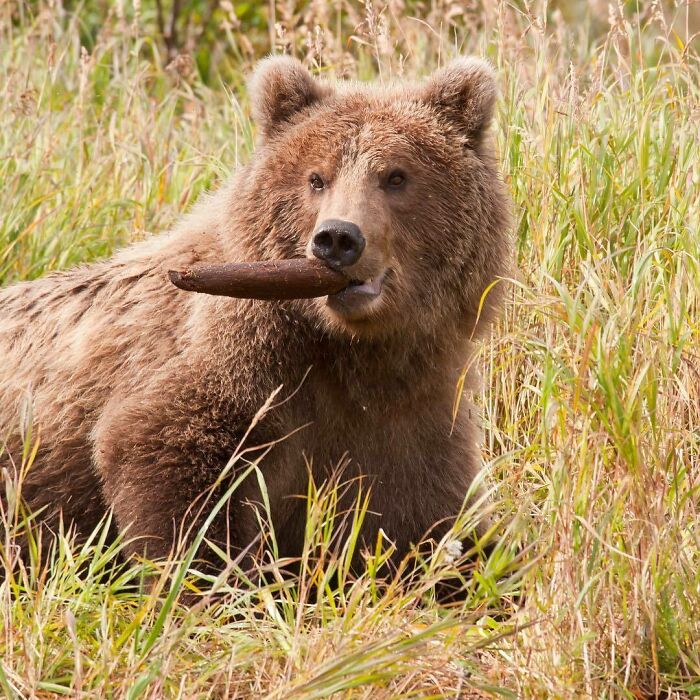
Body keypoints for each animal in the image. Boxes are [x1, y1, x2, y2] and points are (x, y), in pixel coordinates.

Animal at [0, 56, 511, 575]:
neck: (348, 348)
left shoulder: (416, 414)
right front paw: (213, 577)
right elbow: (171, 461)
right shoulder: (244, 364)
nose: (338, 238)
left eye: (395, 176)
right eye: (316, 177)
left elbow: (429, 529)